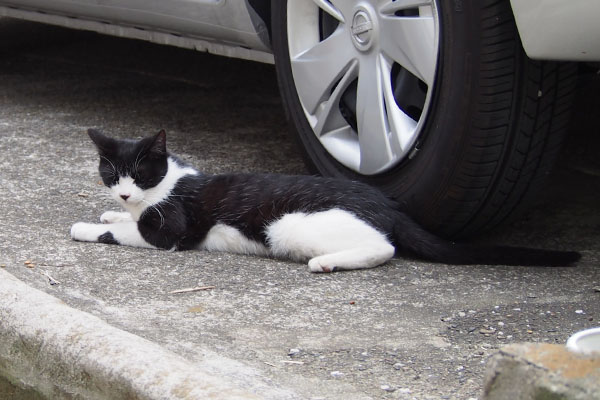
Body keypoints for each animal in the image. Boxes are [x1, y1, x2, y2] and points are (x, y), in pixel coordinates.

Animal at [70, 130, 580, 274]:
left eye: (142, 172)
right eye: (112, 174)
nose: (124, 191)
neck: (166, 185)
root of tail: (387, 204)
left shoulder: (173, 228)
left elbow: (131, 230)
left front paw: (89, 226)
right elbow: (125, 217)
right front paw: (113, 209)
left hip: (288, 225)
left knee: (386, 248)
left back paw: (327, 263)